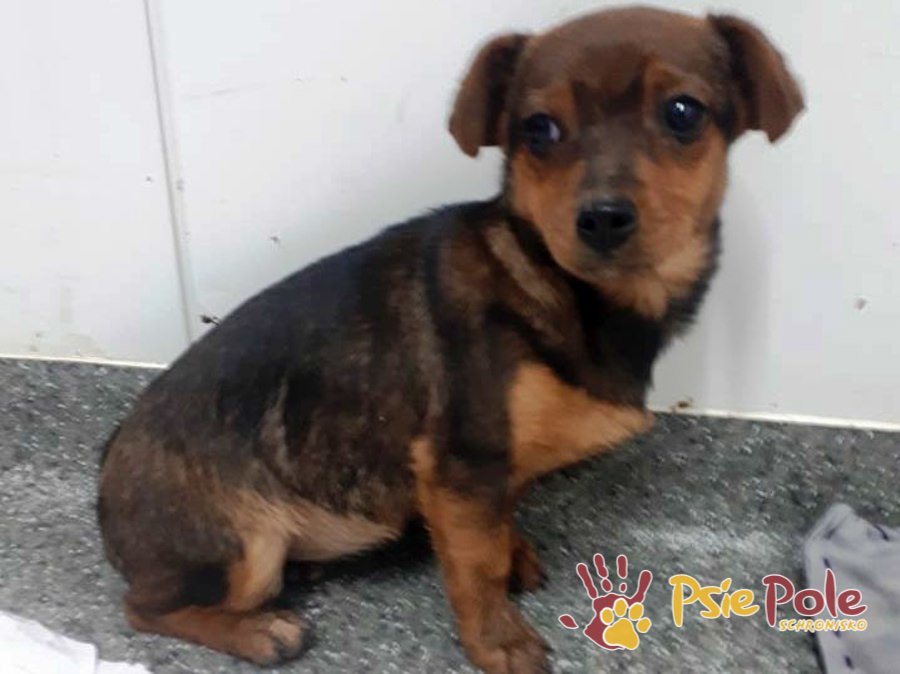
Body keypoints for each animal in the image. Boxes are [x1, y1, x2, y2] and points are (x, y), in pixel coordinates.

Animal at [98, 6, 803, 673]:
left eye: (683, 113)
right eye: (539, 129)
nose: (601, 217)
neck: (560, 286)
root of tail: (106, 482)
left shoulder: (488, 471)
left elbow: (497, 524)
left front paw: (515, 556)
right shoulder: (462, 461)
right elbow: (475, 565)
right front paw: (498, 642)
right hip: (246, 549)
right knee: (145, 607)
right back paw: (259, 631)